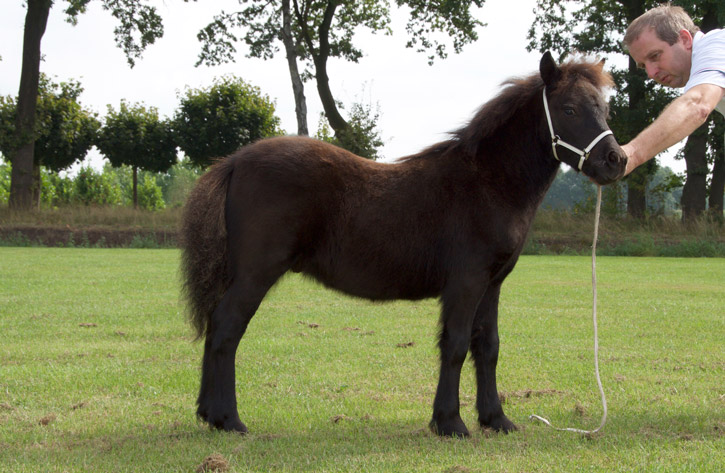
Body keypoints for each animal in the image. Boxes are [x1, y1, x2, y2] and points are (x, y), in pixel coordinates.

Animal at [178, 50, 624, 436]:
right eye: (568, 109)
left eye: (603, 109)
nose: (615, 160)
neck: (487, 182)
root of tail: (235, 161)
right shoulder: (466, 283)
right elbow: (456, 344)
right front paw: (450, 423)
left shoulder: (492, 284)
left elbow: (488, 346)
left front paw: (496, 419)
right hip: (256, 273)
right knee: (226, 328)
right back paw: (228, 419)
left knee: (217, 326)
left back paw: (208, 413)